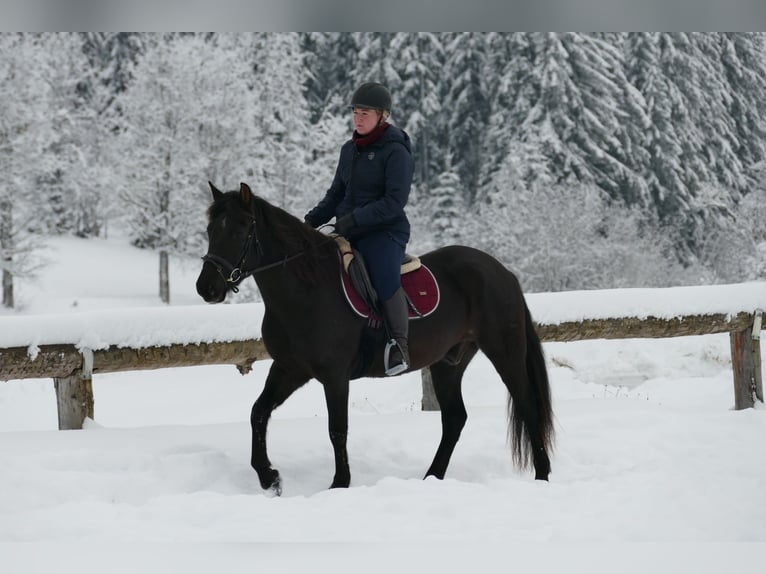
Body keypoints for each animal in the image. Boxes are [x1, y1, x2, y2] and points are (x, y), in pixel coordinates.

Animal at [195, 183, 556, 496]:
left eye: (240, 229)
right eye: (211, 230)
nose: (206, 288)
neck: (307, 291)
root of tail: (502, 272)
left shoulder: (334, 376)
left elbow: (337, 429)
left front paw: (339, 484)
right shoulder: (289, 369)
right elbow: (258, 412)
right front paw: (269, 477)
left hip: (504, 352)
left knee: (527, 405)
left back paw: (542, 475)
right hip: (448, 363)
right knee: (455, 418)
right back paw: (431, 478)